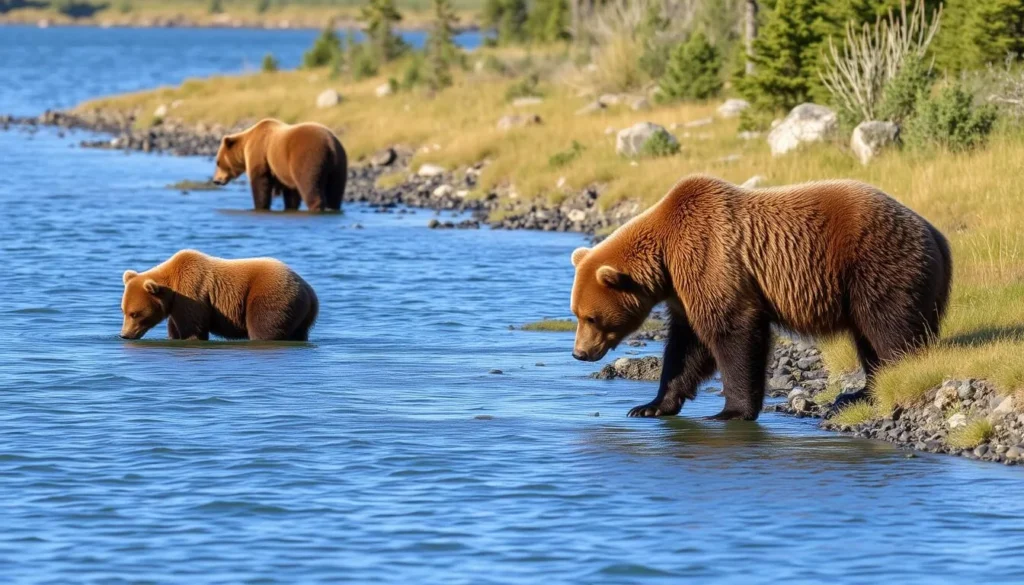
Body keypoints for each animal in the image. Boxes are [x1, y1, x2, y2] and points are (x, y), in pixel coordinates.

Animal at [120, 249, 318, 341]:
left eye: (134, 314)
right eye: (123, 311)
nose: (124, 335)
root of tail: (310, 292)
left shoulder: (193, 293)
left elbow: (193, 329)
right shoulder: (177, 306)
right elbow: (175, 329)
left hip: (270, 295)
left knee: (264, 326)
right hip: (300, 313)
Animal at [212, 118, 347, 212]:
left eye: (218, 162)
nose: (216, 180)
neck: (246, 144)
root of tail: (330, 144)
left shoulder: (259, 152)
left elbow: (260, 182)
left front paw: (260, 206)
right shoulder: (284, 169)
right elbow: (291, 192)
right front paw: (290, 206)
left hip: (309, 158)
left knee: (310, 184)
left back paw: (316, 207)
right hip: (338, 166)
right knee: (335, 192)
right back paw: (333, 207)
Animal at [570, 175, 951, 421]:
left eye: (591, 317)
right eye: (575, 313)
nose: (579, 353)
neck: (665, 258)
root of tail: (936, 234)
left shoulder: (711, 259)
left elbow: (733, 333)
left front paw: (731, 411)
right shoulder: (684, 290)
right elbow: (686, 347)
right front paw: (649, 406)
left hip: (876, 264)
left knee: (890, 329)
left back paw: (888, 382)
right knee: (870, 336)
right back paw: (857, 393)